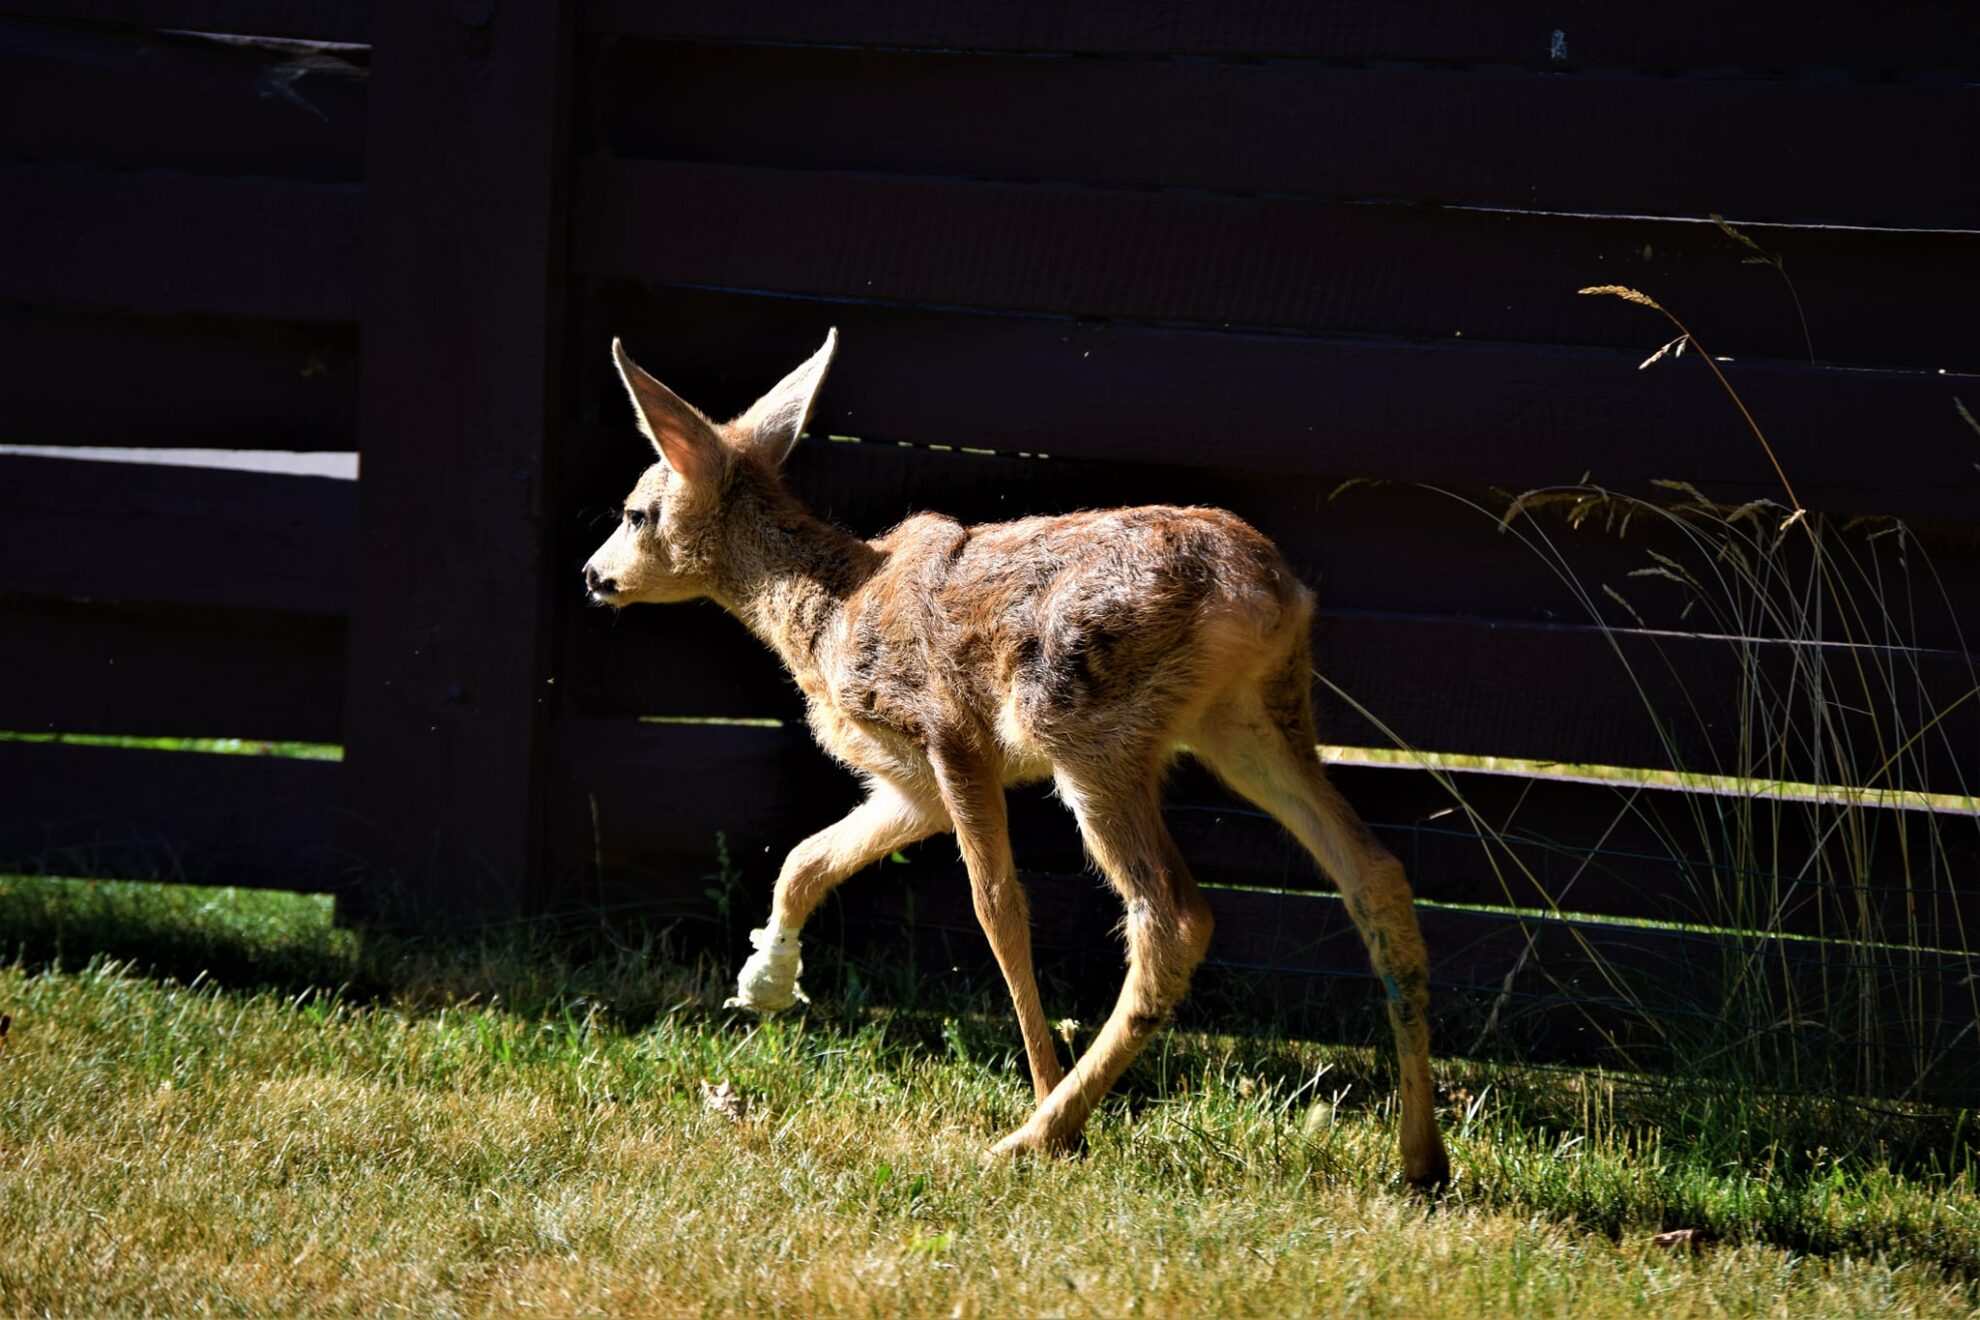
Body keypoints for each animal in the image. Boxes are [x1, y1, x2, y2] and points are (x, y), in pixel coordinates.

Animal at [578, 328, 1449, 1187]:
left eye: (636, 512)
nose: (592, 576)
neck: (827, 613)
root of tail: (1261, 590)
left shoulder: (947, 731)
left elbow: (996, 908)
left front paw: (1040, 1084)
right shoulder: (910, 786)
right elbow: (807, 858)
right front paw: (765, 983)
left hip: (1086, 724)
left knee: (1174, 916)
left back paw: (1042, 1132)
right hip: (1249, 719)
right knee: (1373, 872)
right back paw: (1421, 1159)